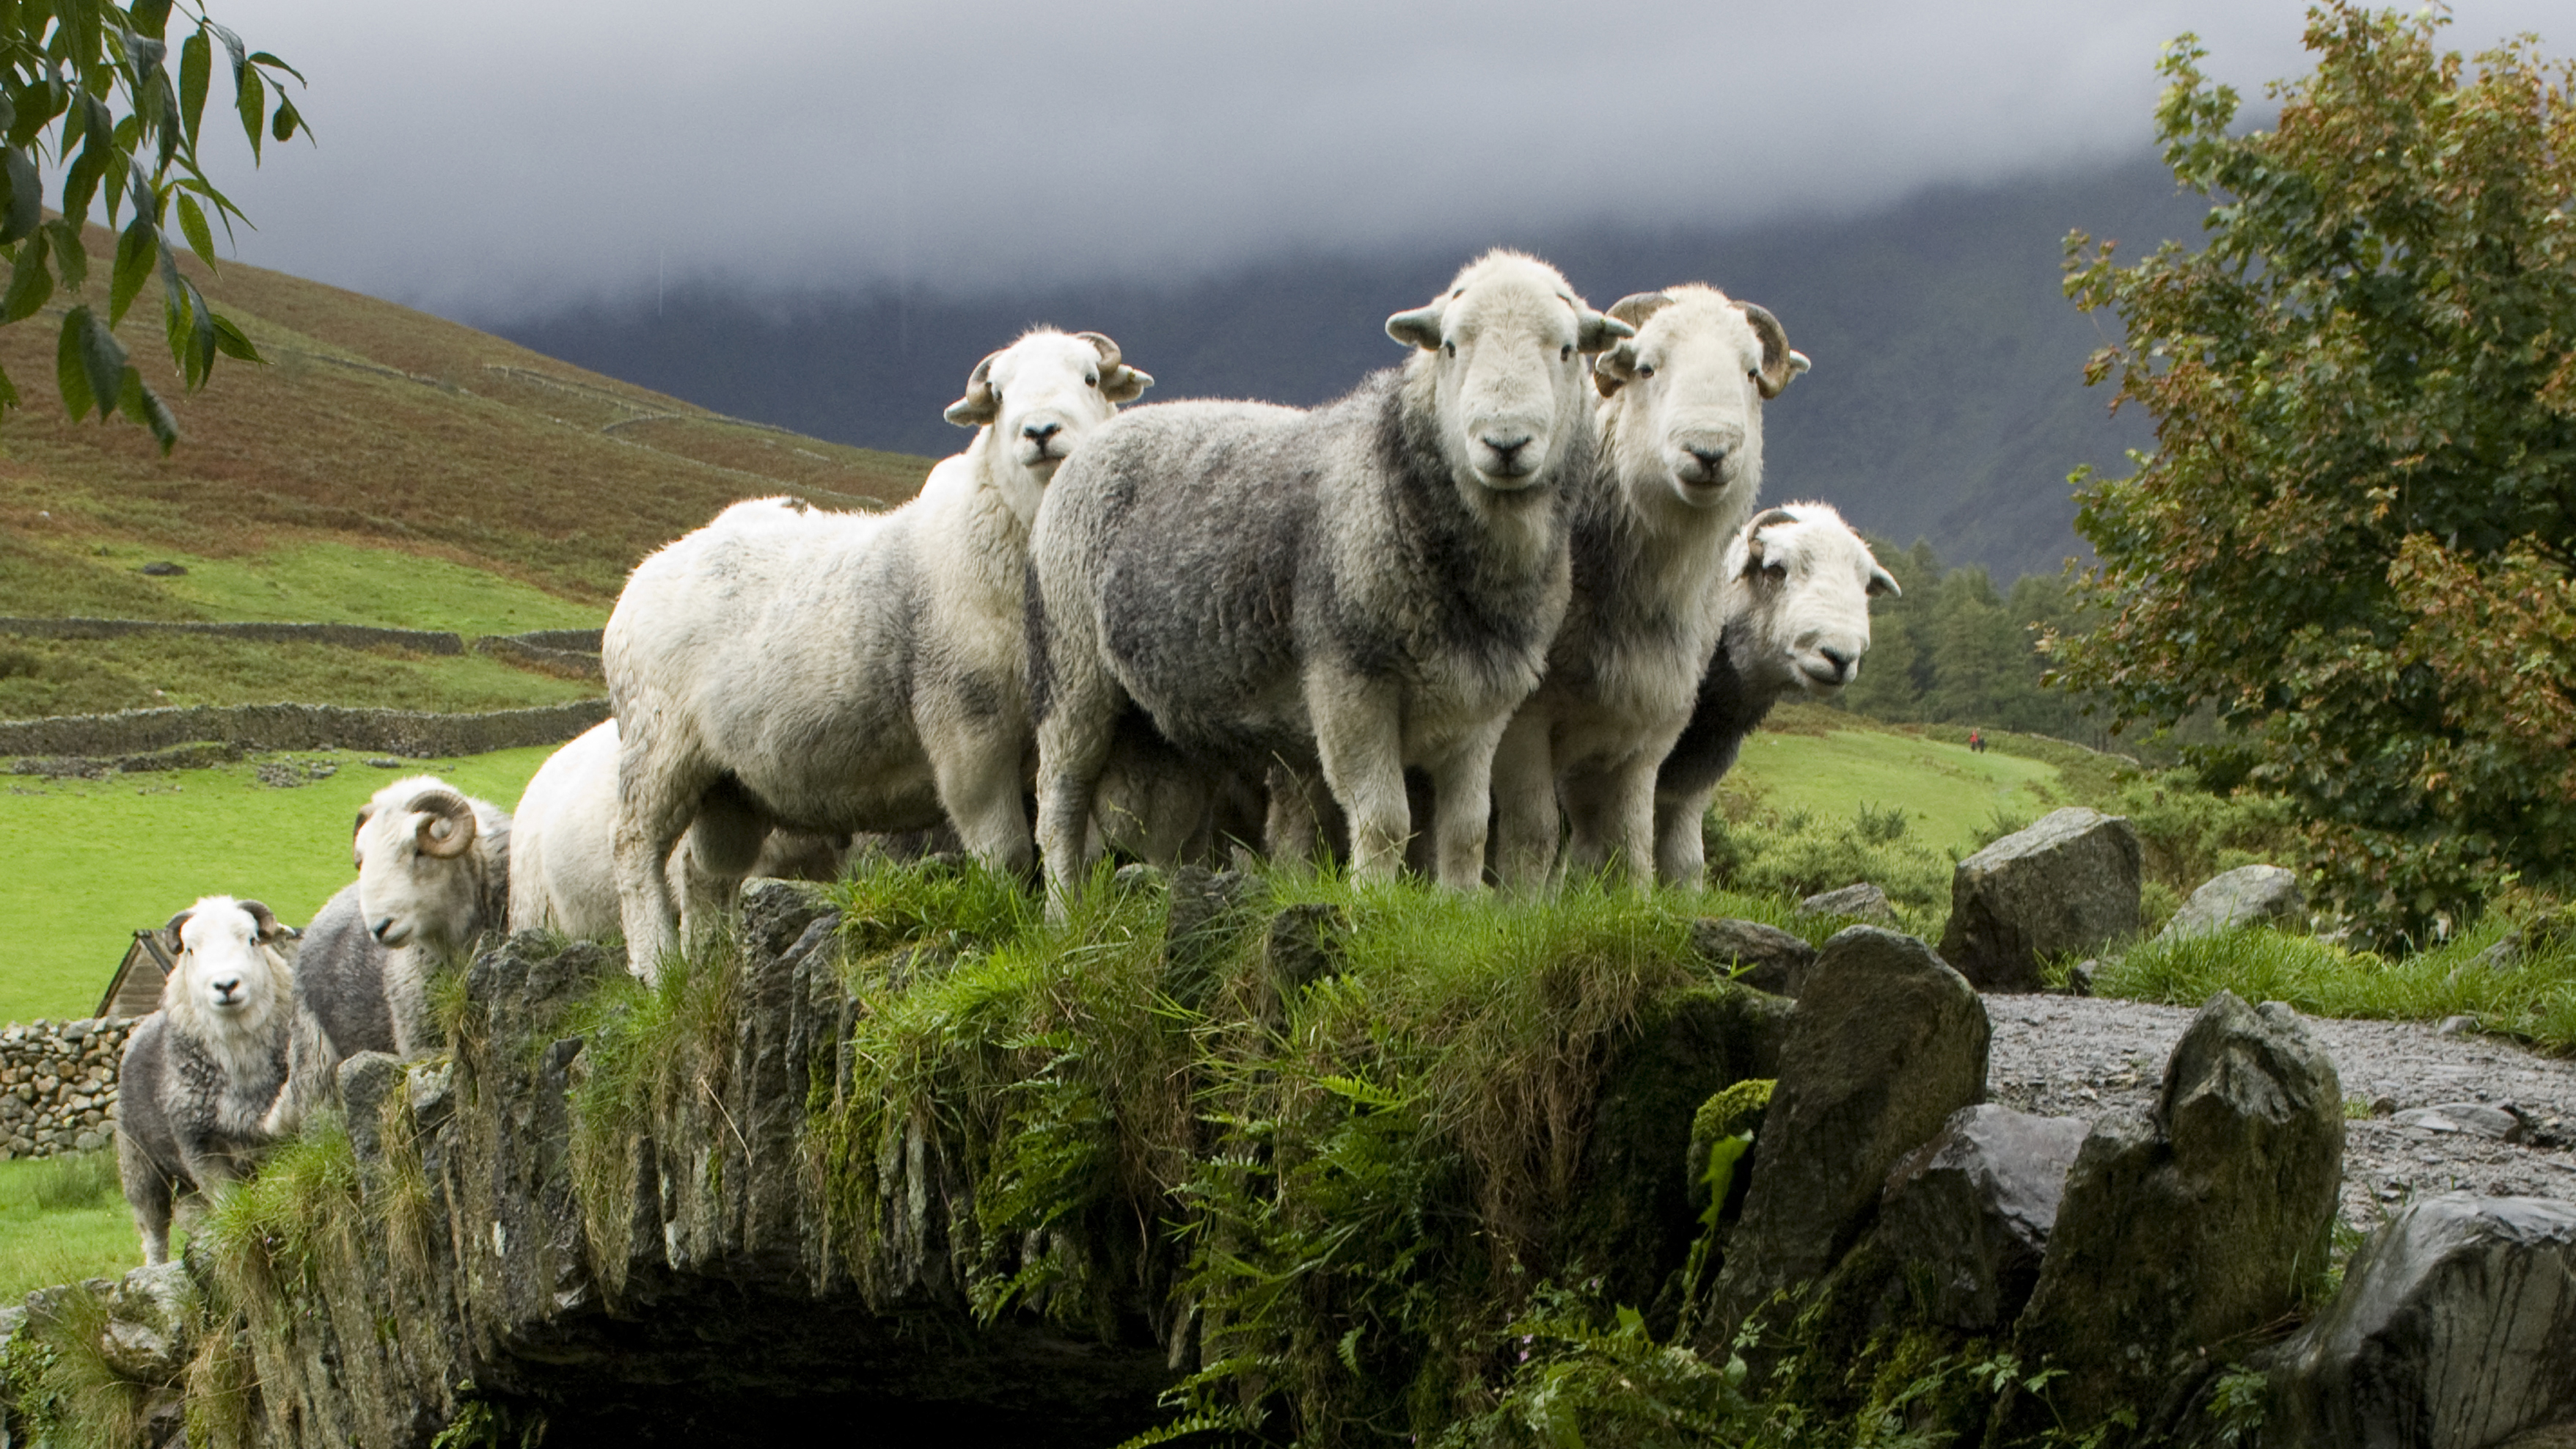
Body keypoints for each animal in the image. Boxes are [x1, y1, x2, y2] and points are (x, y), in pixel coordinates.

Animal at [116, 896, 296, 1266]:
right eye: (190, 949)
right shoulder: (200, 1147)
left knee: (189, 1210)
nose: (226, 985)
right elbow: (229, 1206)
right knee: (153, 1229)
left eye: (252, 940)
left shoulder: (277, 1141)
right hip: (138, 1163)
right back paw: (156, 1268)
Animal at [606, 329, 1151, 975]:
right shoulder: (967, 732)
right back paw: (656, 967)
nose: (1039, 431)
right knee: (635, 851)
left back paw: (706, 967)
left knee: (702, 872)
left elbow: (1073, 838)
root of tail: (644, 572)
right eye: (998, 394)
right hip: (658, 745)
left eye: (1090, 378)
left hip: (729, 786)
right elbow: (1005, 852)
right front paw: (1008, 926)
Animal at [1030, 251, 1629, 902]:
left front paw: (1459, 904)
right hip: (1072, 668)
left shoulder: (1480, 702)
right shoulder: (1349, 682)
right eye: (1450, 345)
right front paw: (1375, 903)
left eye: (1567, 349)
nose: (1505, 443)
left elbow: (1468, 827)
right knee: (1059, 805)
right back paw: (1064, 910)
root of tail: (1100, 438)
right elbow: (1386, 819)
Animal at [1488, 284, 1809, 890]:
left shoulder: (1647, 734)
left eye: (1751, 372)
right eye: (1646, 367)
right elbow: (1534, 835)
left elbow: (1630, 846)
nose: (1709, 452)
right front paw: (1514, 903)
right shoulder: (1524, 720)